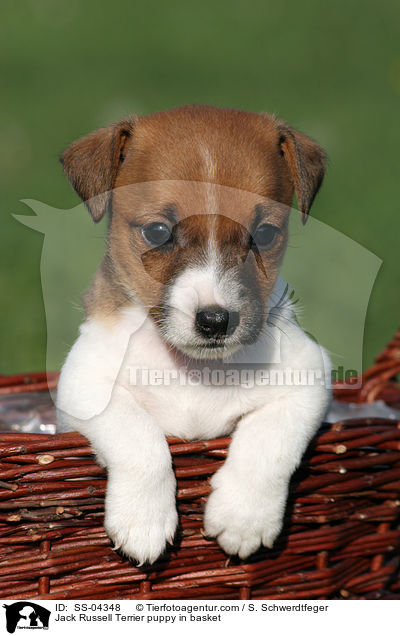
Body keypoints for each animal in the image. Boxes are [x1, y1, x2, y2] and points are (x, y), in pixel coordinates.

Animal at [56, 105, 332, 568]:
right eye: (157, 232)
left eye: (265, 234)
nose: (217, 320)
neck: (193, 369)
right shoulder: (83, 384)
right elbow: (137, 433)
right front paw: (143, 520)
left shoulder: (309, 377)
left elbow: (271, 439)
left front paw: (244, 516)